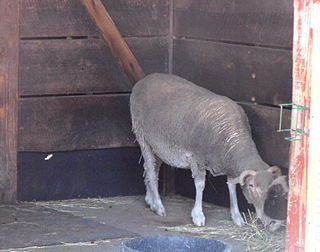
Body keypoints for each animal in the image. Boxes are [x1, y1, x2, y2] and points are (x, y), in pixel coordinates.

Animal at [130, 73, 282, 228]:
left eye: (271, 188)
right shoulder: (197, 158)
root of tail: (146, 79)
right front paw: (198, 216)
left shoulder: (229, 163)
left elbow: (232, 186)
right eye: (251, 186)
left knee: (151, 169)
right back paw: (158, 205)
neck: (233, 138)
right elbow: (200, 185)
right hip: (143, 136)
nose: (271, 221)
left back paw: (150, 199)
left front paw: (236, 216)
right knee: (150, 170)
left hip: (159, 148)